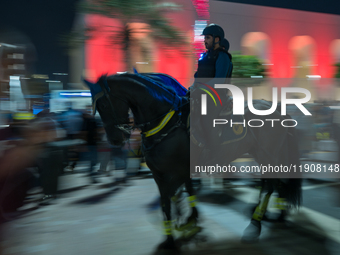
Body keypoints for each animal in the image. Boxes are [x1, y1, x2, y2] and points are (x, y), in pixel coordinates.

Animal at [83, 72, 302, 250]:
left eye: (103, 105)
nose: (114, 140)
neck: (166, 122)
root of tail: (277, 108)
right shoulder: (163, 174)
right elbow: (180, 196)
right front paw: (189, 223)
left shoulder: (175, 173)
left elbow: (169, 200)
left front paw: (174, 236)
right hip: (263, 153)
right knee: (275, 182)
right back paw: (275, 215)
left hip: (268, 153)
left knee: (270, 185)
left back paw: (255, 224)